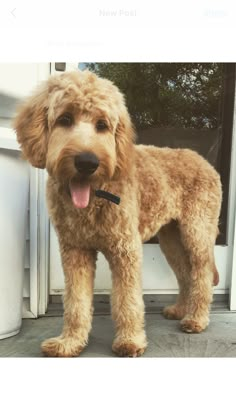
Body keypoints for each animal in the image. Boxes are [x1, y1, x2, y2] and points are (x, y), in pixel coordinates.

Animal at [14, 70, 221, 356]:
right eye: (64, 119)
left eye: (102, 125)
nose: (87, 162)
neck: (95, 196)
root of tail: (204, 161)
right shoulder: (75, 250)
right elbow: (75, 302)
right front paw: (70, 341)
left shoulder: (126, 250)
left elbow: (127, 299)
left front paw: (130, 341)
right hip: (171, 238)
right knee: (184, 272)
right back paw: (180, 310)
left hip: (197, 232)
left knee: (201, 274)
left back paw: (196, 319)